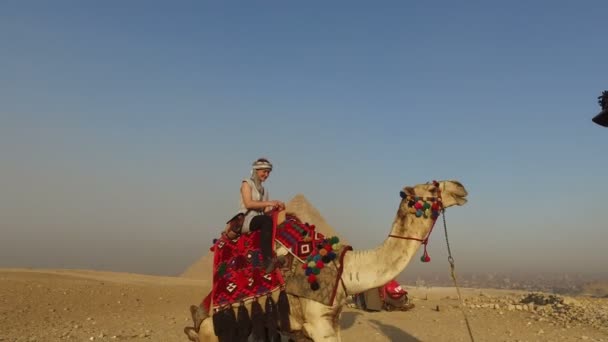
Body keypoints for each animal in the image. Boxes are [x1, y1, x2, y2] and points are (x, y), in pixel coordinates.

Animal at [188, 180, 468, 340]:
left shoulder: (324, 323)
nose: (460, 186)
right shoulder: (318, 324)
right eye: (432, 187)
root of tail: (196, 321)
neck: (346, 269)